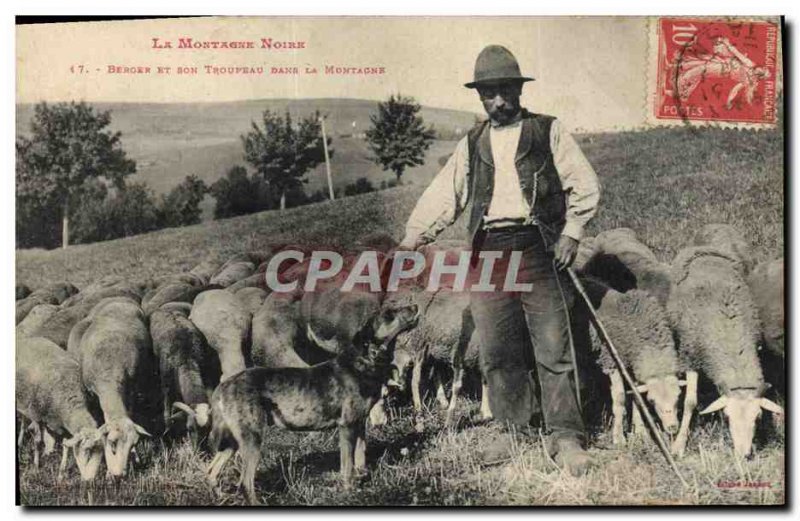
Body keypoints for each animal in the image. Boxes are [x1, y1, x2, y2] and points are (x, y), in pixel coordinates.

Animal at [16, 338, 104, 480]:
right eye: (87, 450)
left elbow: (66, 446)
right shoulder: (36, 415)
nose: (90, 479)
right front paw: (36, 468)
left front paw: (61, 475)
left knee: (24, 421)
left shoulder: (63, 424)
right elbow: (37, 442)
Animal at [75, 296, 156, 476]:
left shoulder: (131, 389)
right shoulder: (89, 392)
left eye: (134, 444)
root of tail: (118, 298)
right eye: (112, 443)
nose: (120, 476)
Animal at [150, 304, 222, 434]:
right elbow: (167, 407)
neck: (186, 357)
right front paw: (167, 429)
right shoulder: (166, 382)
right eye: (189, 428)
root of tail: (165, 307)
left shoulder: (207, 375)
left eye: (209, 429)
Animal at [668, 246, 780, 458]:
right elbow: (690, 402)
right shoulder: (690, 357)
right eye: (727, 417)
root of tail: (704, 249)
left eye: (757, 417)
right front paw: (679, 444)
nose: (743, 455)